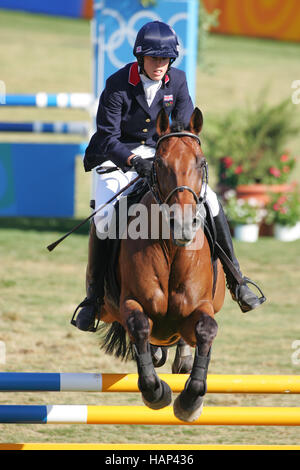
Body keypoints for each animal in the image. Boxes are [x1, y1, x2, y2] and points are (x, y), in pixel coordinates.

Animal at [98, 108, 225, 424]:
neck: (172, 248)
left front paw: (191, 401)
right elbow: (140, 326)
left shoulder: (201, 306)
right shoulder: (131, 302)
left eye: (201, 163)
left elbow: (206, 329)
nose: (183, 225)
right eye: (159, 164)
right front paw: (156, 393)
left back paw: (183, 358)